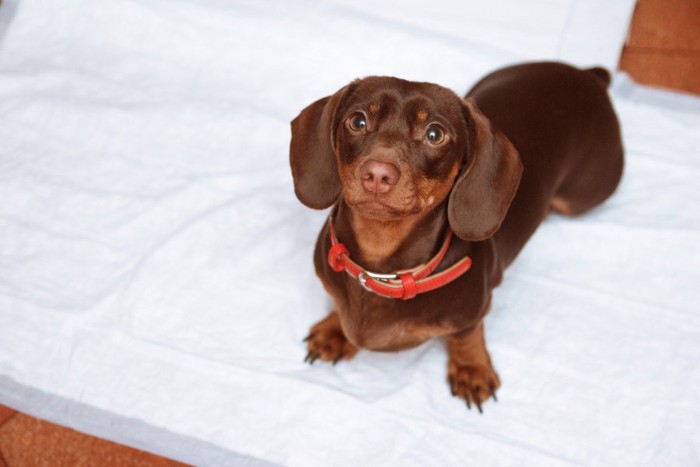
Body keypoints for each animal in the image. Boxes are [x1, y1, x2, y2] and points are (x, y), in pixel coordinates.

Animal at [288, 62, 624, 414]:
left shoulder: (475, 310)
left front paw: (472, 369)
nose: (377, 174)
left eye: (435, 134)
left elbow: (465, 334)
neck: (382, 267)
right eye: (358, 121)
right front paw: (335, 330)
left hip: (584, 196)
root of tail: (586, 75)